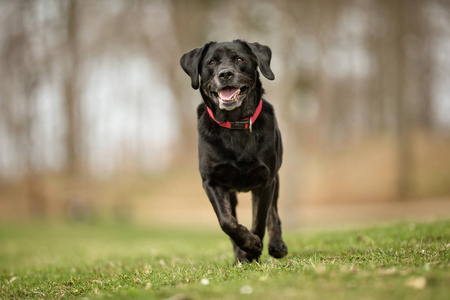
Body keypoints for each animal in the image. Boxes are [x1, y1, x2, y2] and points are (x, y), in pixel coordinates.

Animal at [180, 39, 288, 262]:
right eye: (212, 62)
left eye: (239, 59)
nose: (225, 74)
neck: (235, 125)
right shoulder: (212, 181)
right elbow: (227, 222)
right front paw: (248, 247)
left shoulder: (266, 180)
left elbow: (260, 220)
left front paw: (254, 248)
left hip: (276, 180)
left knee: (273, 213)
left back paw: (276, 245)